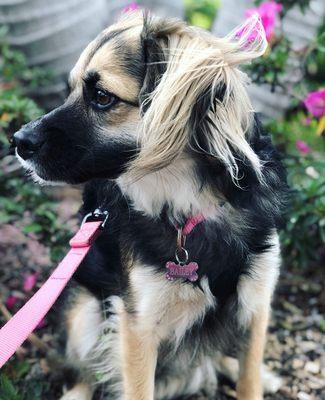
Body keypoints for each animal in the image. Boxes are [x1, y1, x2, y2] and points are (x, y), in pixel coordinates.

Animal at [13, 11, 284, 400]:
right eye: (70, 91)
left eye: (101, 96)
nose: (17, 141)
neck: (193, 206)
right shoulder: (138, 325)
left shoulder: (256, 305)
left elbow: (249, 381)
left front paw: (254, 377)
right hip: (85, 311)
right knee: (86, 373)